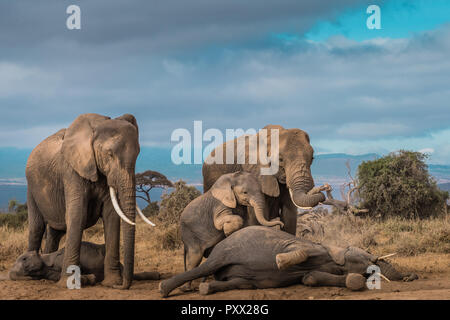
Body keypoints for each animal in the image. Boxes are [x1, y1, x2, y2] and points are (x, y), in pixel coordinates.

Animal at [25, 113, 155, 290]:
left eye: (137, 155)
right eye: (109, 154)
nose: (122, 286)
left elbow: (111, 216)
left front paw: (112, 283)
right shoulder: (72, 171)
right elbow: (77, 216)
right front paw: (70, 284)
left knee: (55, 232)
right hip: (31, 187)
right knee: (37, 227)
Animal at [159, 225, 418, 298]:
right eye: (366, 253)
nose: (412, 277)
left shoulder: (319, 269)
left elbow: (310, 277)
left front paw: (353, 281)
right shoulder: (307, 246)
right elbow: (297, 252)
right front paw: (280, 261)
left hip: (243, 281)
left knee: (238, 283)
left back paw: (206, 289)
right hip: (222, 252)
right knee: (207, 265)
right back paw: (164, 288)